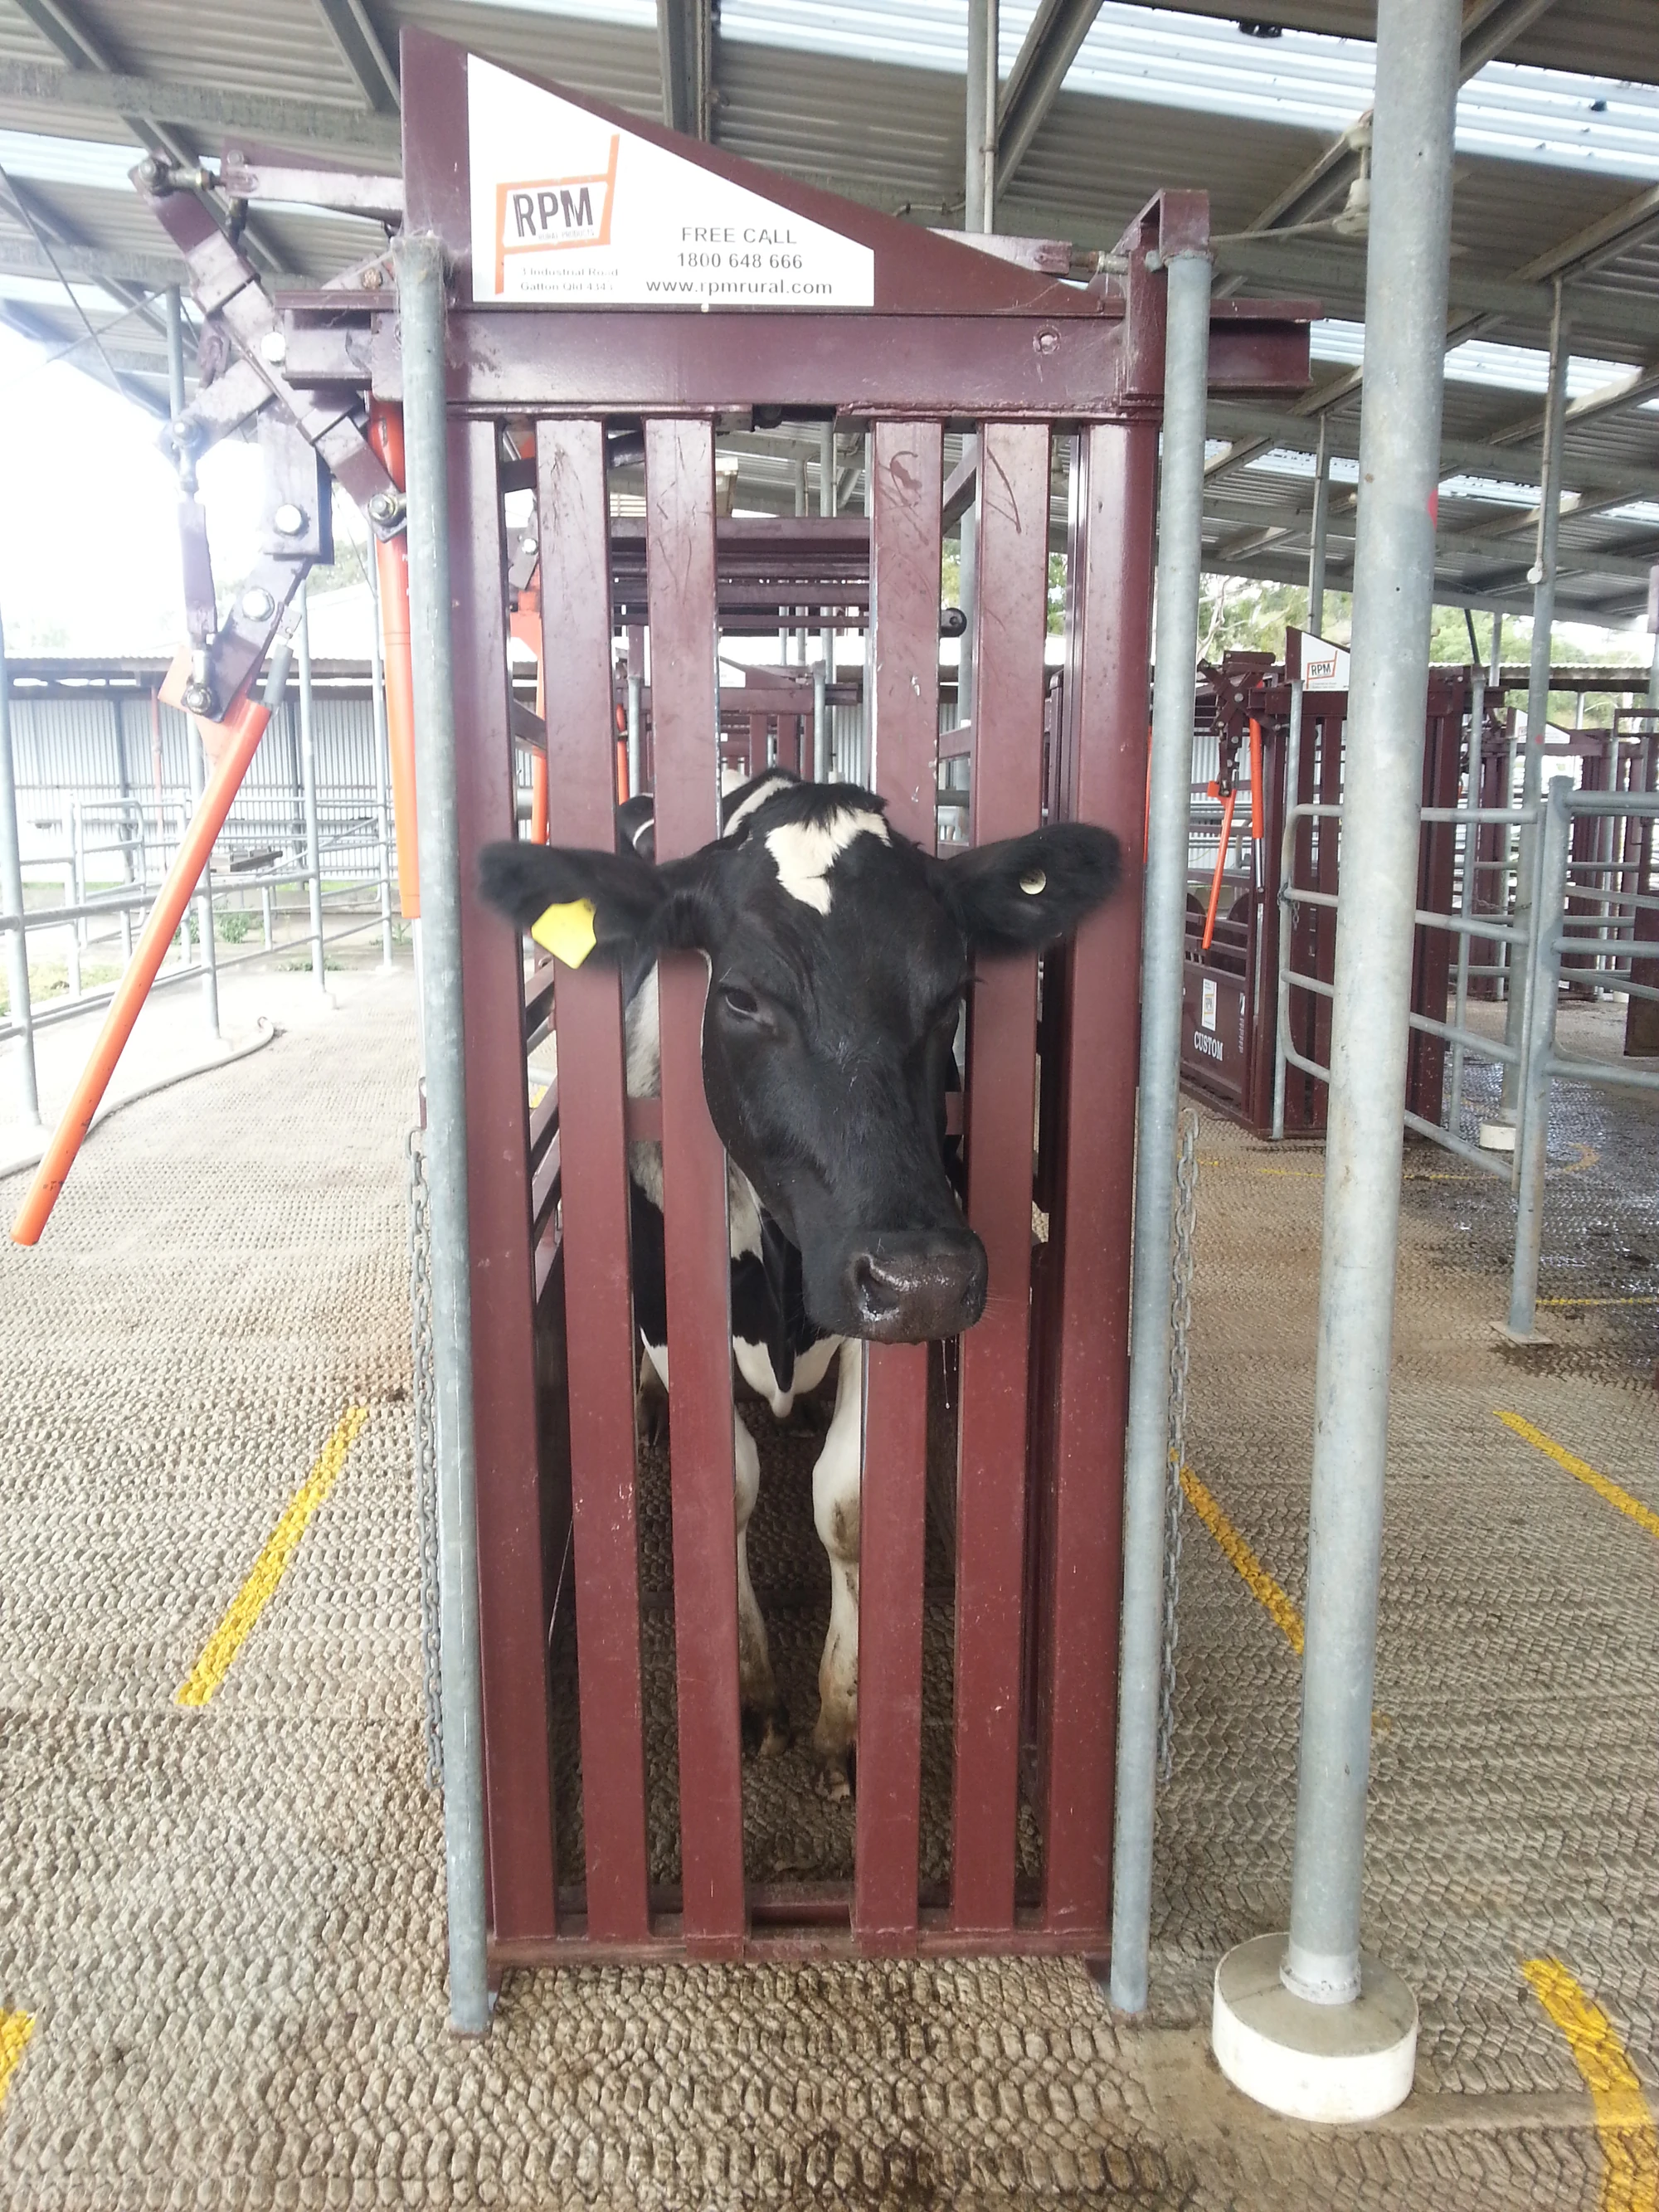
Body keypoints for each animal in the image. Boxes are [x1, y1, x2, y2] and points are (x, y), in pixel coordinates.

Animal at [481, 769, 1120, 1798]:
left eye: (953, 991)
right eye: (740, 997)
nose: (925, 1276)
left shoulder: (870, 1315)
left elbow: (846, 1503)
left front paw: (844, 1723)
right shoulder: (673, 1304)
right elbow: (725, 1486)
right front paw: (745, 1695)